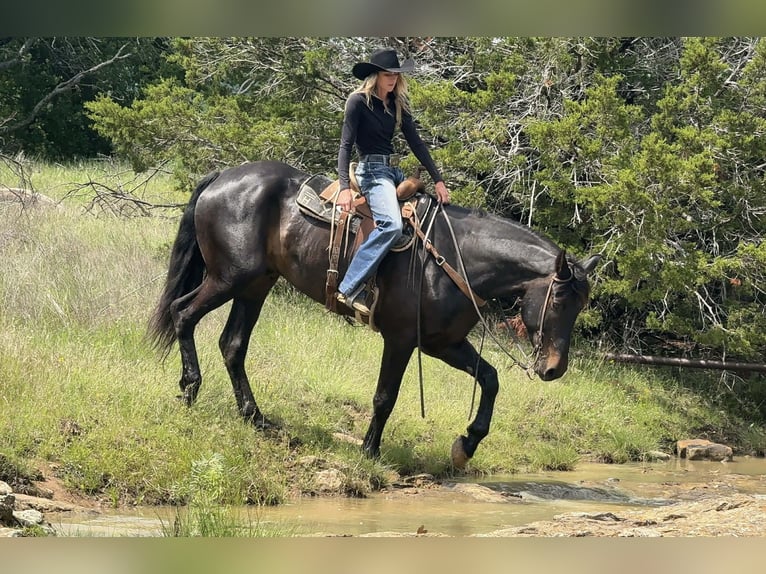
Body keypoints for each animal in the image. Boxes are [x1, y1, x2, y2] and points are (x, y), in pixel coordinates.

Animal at [148, 160, 600, 467]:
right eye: (560, 301)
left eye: (581, 305)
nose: (554, 368)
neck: (455, 258)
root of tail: (222, 177)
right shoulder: (400, 339)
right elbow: (386, 396)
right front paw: (370, 449)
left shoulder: (444, 344)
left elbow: (489, 379)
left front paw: (466, 444)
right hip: (228, 278)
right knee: (182, 313)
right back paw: (189, 388)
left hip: (255, 286)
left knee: (233, 345)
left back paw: (255, 417)